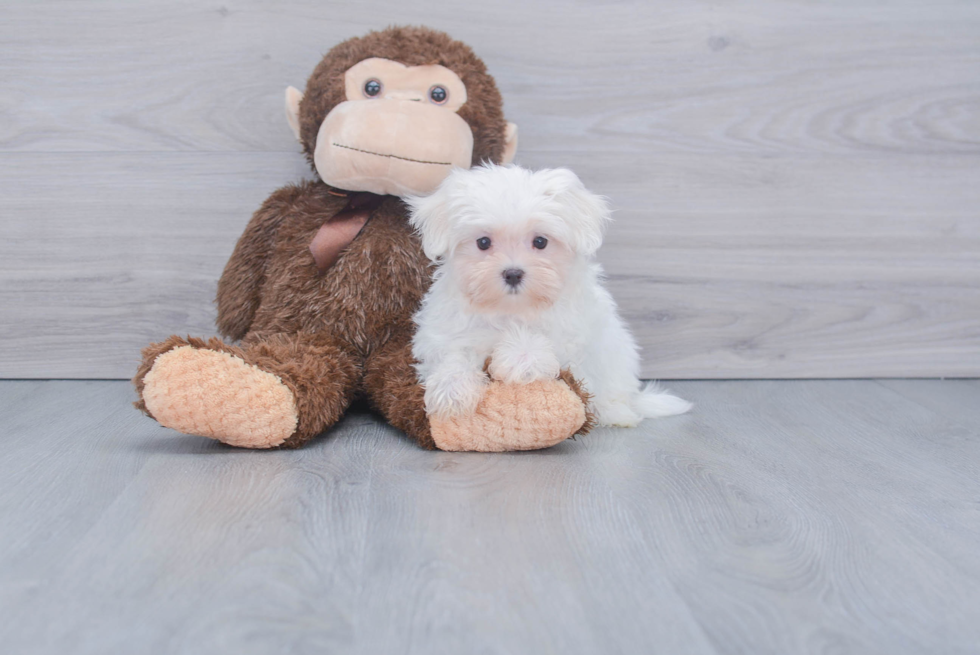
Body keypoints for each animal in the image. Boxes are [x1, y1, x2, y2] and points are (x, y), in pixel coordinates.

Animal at [406, 167, 688, 428]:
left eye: (540, 241)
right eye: (483, 242)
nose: (513, 273)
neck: (512, 309)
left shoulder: (572, 332)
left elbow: (543, 340)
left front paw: (518, 359)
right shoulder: (445, 331)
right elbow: (454, 353)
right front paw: (451, 389)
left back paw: (618, 414)